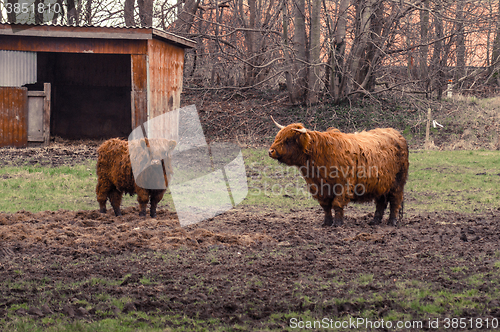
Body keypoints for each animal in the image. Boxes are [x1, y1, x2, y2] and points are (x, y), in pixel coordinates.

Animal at [270, 116, 406, 226]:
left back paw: (392, 222)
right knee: (381, 202)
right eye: (278, 136)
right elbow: (325, 206)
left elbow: (337, 204)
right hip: (381, 184)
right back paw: (375, 221)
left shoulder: (343, 185)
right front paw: (327, 222)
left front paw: (337, 223)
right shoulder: (319, 187)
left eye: (288, 139)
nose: (270, 151)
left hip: (397, 182)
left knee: (395, 201)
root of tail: (396, 133)